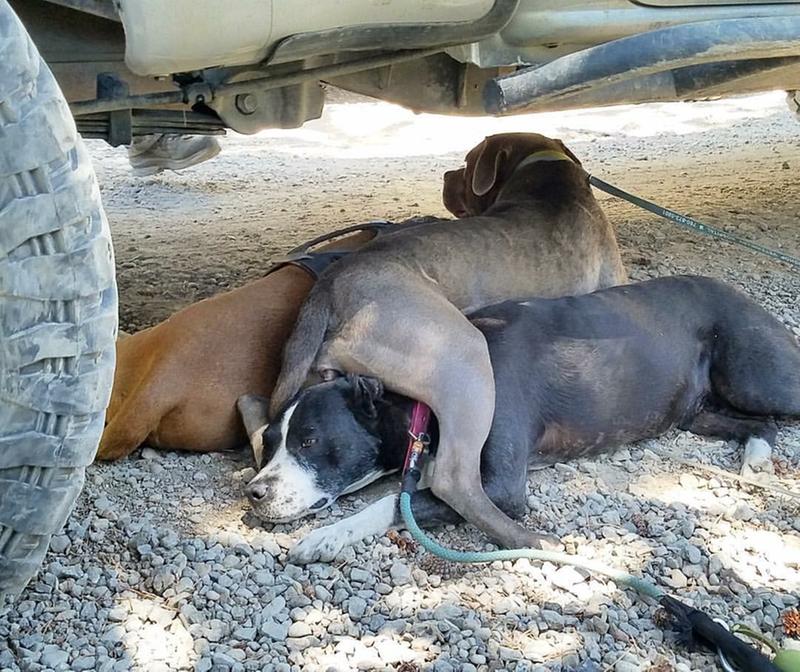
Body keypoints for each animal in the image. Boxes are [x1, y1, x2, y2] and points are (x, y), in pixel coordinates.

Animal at [239, 276, 800, 564]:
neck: (419, 402)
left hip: (760, 377)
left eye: (310, 440)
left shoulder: (502, 487)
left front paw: (327, 536)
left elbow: (396, 504)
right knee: (761, 424)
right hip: (696, 412)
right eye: (272, 441)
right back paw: (756, 457)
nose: (255, 492)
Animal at [268, 131, 624, 552]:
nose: (446, 174)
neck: (545, 173)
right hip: (461, 357)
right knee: (456, 482)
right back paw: (533, 539)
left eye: (466, 164)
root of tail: (333, 280)